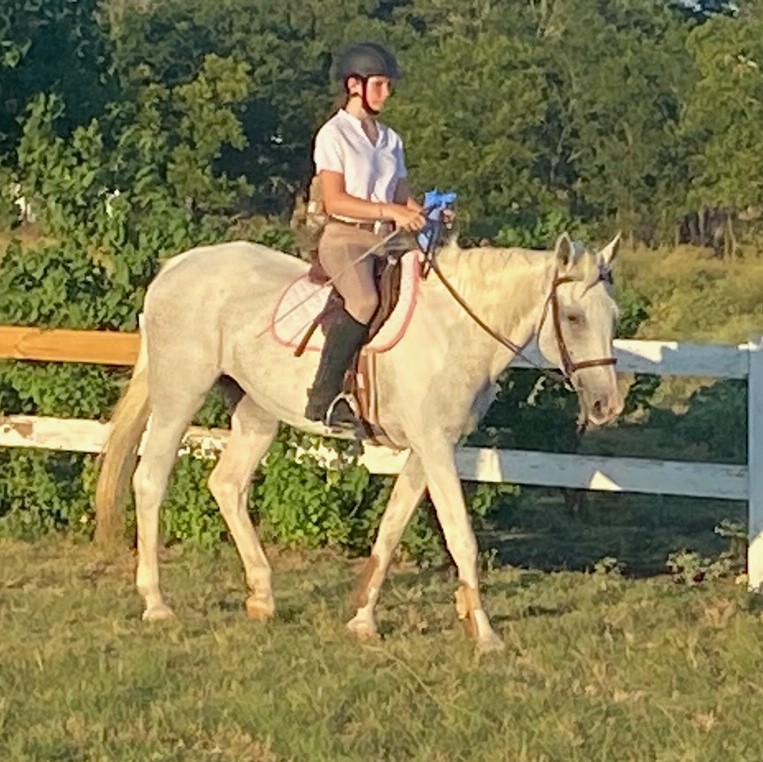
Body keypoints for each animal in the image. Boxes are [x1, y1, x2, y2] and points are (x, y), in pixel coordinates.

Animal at [95, 230, 624, 648]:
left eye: (613, 316)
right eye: (573, 318)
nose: (606, 405)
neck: (454, 333)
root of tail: (177, 267)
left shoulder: (429, 449)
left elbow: (390, 529)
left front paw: (363, 619)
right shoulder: (435, 447)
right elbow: (461, 537)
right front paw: (486, 633)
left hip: (257, 410)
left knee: (227, 484)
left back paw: (263, 596)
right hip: (179, 394)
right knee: (150, 479)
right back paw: (156, 602)